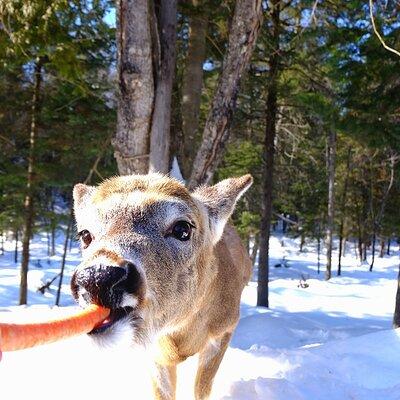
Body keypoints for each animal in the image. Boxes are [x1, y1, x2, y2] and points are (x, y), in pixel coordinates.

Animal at [71, 173, 253, 400]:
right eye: (85, 234)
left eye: (183, 228)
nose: (98, 276)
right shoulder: (154, 352)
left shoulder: (225, 328)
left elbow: (201, 389)